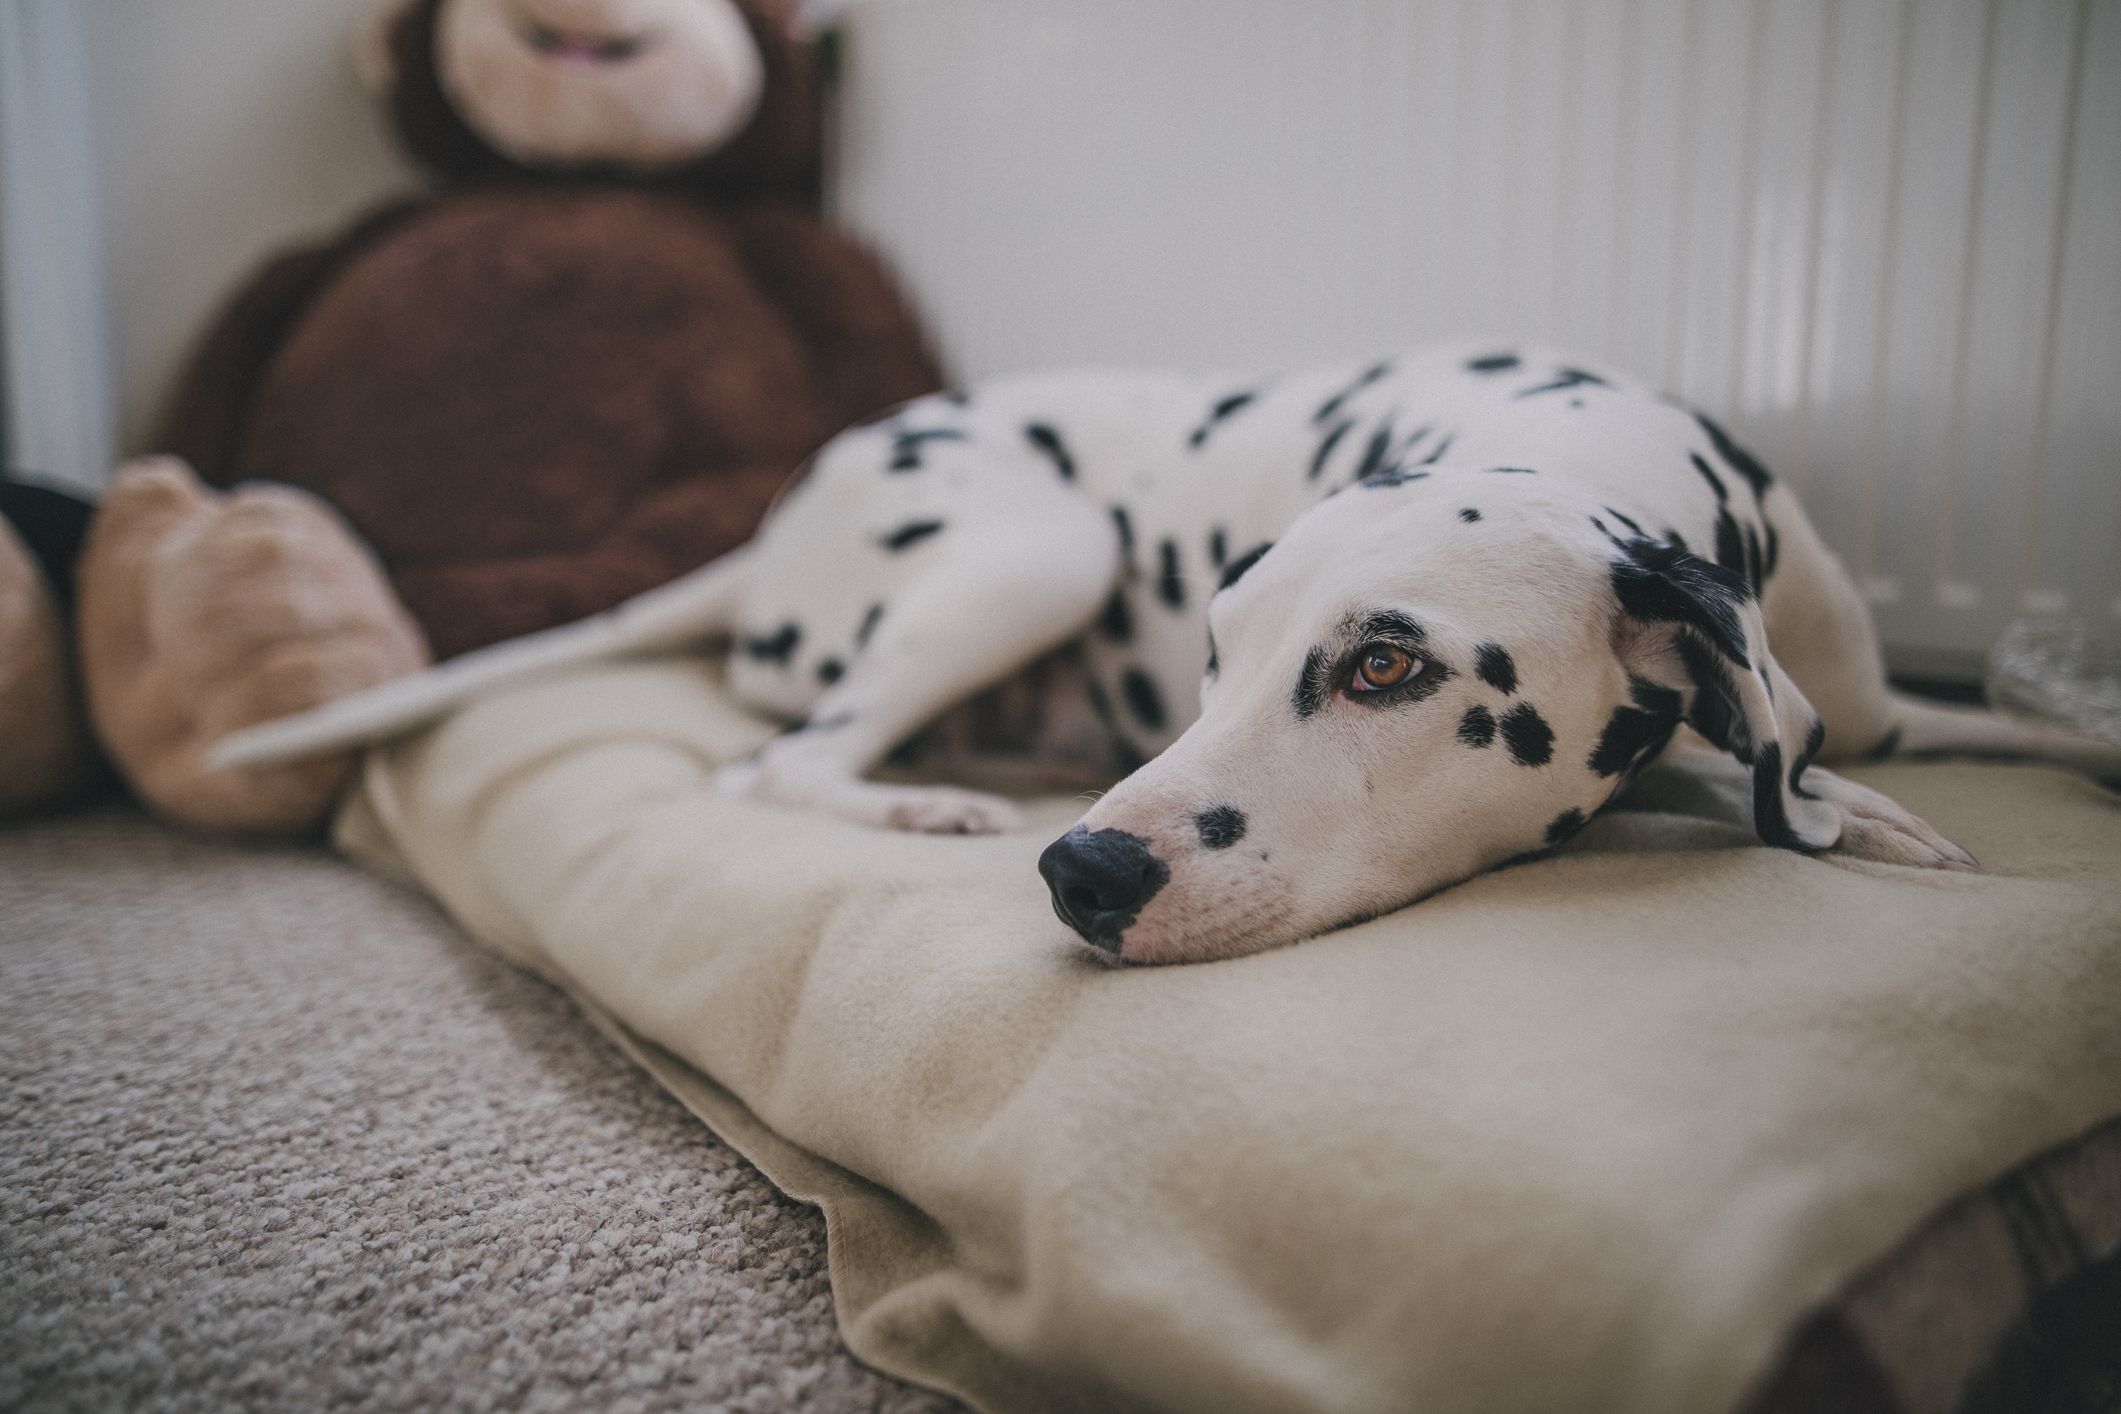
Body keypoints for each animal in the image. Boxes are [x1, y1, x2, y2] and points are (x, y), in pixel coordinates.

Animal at [215, 347, 2121, 966]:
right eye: (1216, 651)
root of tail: (785, 512)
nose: (1083, 868)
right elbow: (1750, 767)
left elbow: (1924, 732)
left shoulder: (1865, 692)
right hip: (1033, 547)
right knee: (778, 758)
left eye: (1386, 670)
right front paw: (1853, 819)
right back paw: (926, 803)